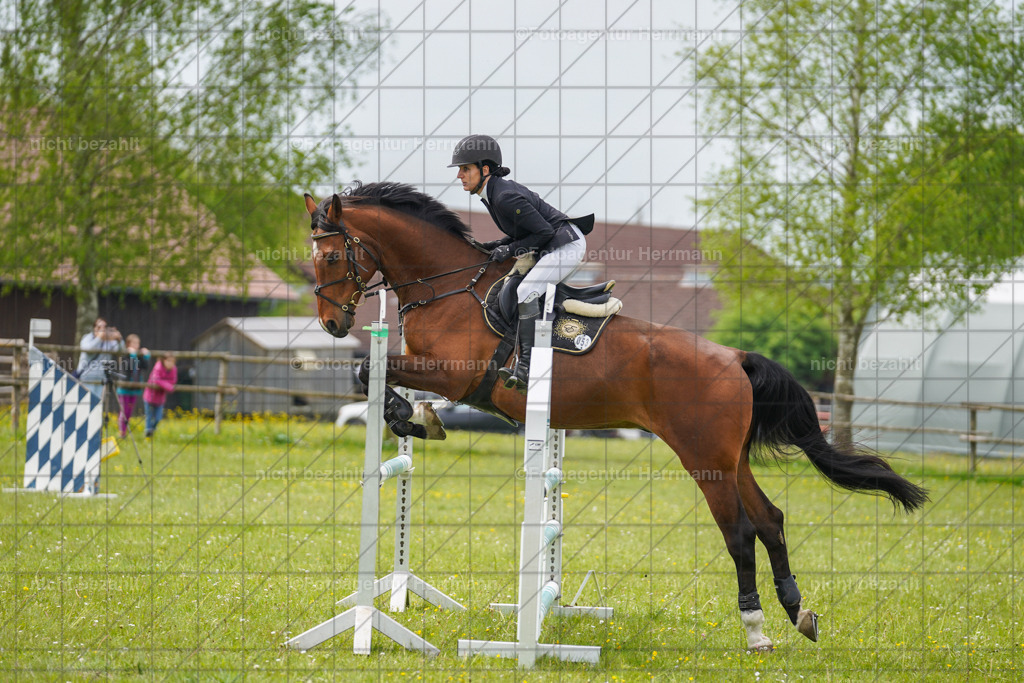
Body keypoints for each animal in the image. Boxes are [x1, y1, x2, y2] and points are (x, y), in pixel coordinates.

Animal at [303, 182, 928, 652]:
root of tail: (734, 357)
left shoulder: (453, 374)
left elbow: (367, 369)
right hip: (729, 458)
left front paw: (412, 417)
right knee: (771, 520)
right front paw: (414, 418)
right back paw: (798, 613)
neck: (448, 285)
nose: (333, 323)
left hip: (703, 458)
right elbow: (371, 372)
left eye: (332, 256)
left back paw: (755, 632)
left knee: (741, 532)